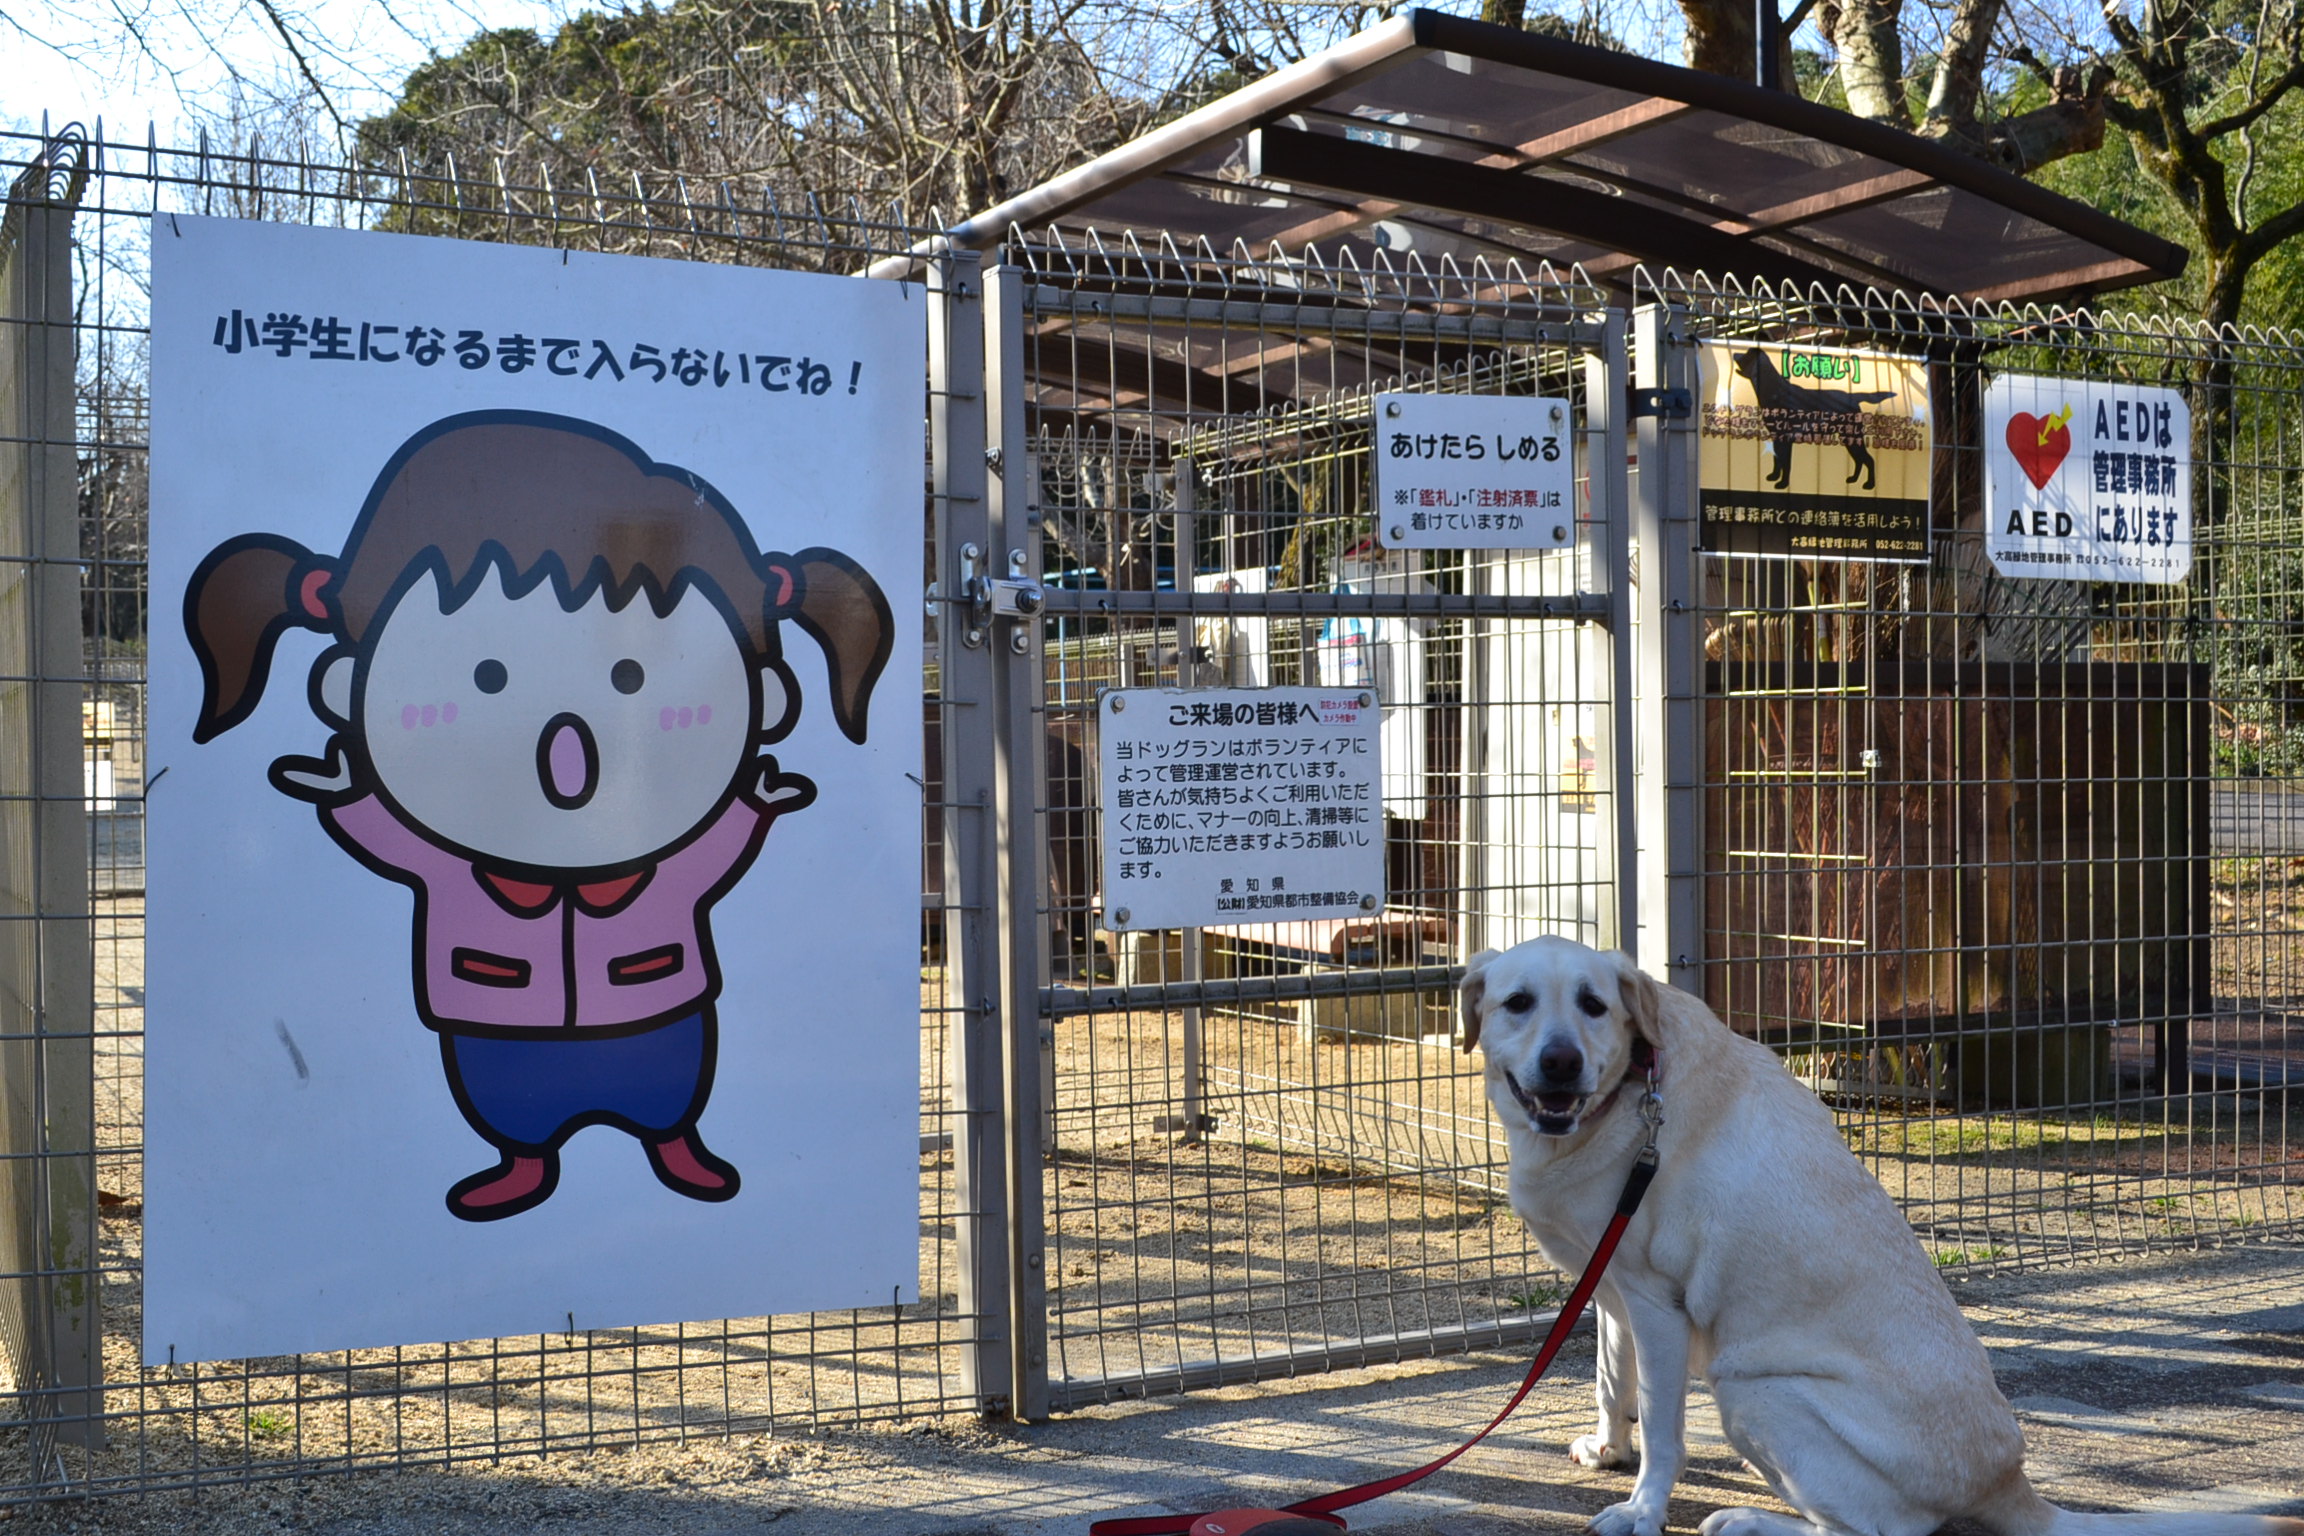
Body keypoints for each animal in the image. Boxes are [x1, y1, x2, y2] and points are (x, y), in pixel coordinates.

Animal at [1465, 939, 2294, 1536]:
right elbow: (1613, 1381)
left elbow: (1664, 1430)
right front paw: (1609, 1449)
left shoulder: (1657, 1306)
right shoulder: (1611, 1289)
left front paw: (1641, 1510)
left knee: (1879, 1530)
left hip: (1754, 1390)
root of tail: (2010, 1480)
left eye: (1595, 1006)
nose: (1562, 1062)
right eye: (1517, 1004)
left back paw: (1752, 1522)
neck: (1629, 1096)